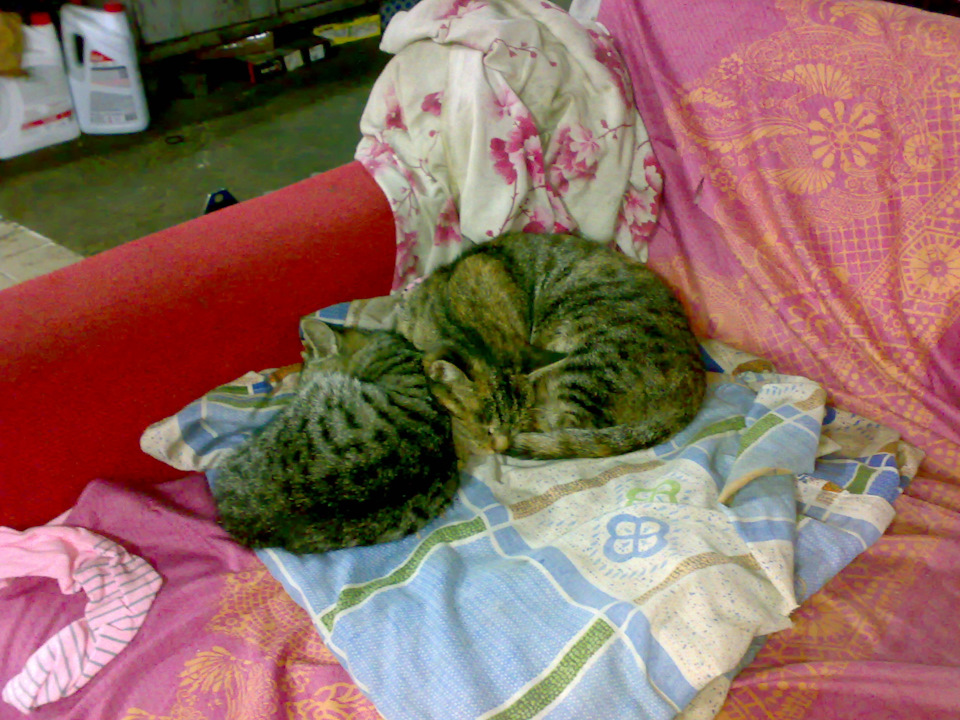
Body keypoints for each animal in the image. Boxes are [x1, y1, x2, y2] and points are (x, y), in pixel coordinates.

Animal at [397, 232, 706, 461]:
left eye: (512, 426)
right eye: (487, 428)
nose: (501, 446)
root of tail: (695, 386)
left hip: (588, 363)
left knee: (569, 427)